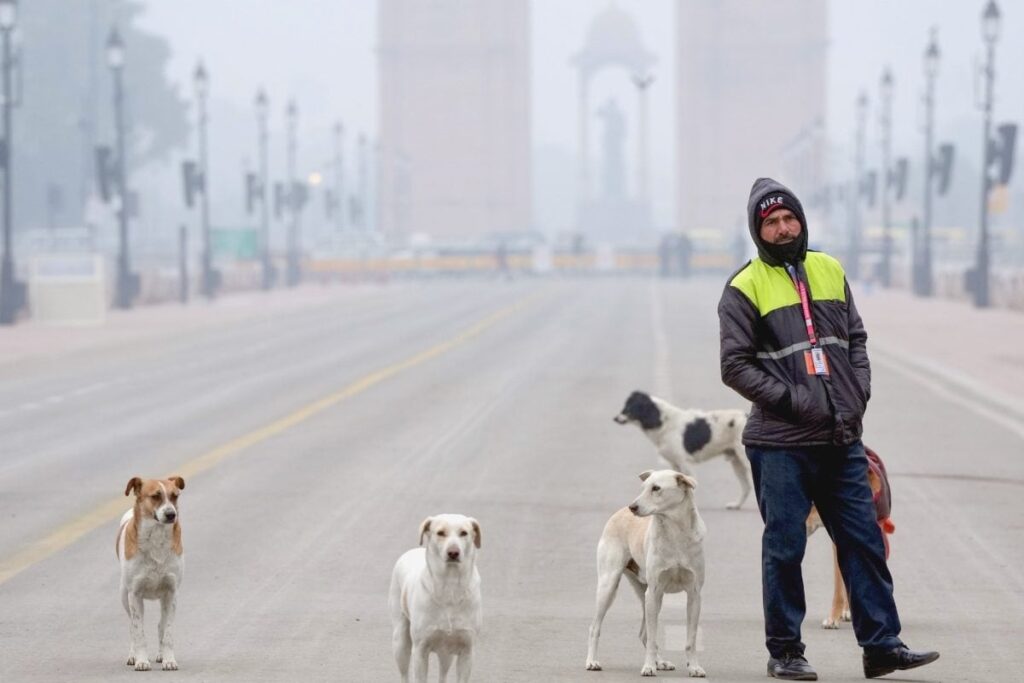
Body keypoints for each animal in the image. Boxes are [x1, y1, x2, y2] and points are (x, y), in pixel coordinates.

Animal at [116, 479, 186, 671]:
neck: (156, 538)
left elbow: (167, 631)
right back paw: (133, 656)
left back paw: (161, 655)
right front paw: (141, 661)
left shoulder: (171, 593)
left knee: (160, 625)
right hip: (124, 596)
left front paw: (169, 659)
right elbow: (139, 632)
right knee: (132, 627)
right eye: (155, 496)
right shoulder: (134, 595)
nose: (171, 514)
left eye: (175, 496)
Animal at [389, 516, 481, 679]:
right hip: (400, 642)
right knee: (404, 673)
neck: (450, 585)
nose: (453, 552)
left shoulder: (467, 651)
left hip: (446, 652)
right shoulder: (420, 650)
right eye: (440, 532)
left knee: (443, 672)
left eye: (464, 533)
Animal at [589, 471, 708, 679]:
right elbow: (653, 639)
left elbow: (690, 639)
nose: (633, 507)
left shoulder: (694, 595)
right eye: (643, 488)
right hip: (609, 585)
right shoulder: (654, 592)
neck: (675, 532)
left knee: (644, 634)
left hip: (644, 594)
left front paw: (694, 667)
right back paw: (592, 662)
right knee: (595, 628)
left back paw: (661, 662)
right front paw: (648, 667)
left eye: (656, 488)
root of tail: (618, 512)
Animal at [614, 393, 753, 509]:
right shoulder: (674, 464)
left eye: (630, 407)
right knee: (746, 487)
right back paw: (736, 505)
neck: (665, 423)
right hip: (737, 462)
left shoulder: (684, 463)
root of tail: (746, 415)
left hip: (745, 460)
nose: (615, 418)